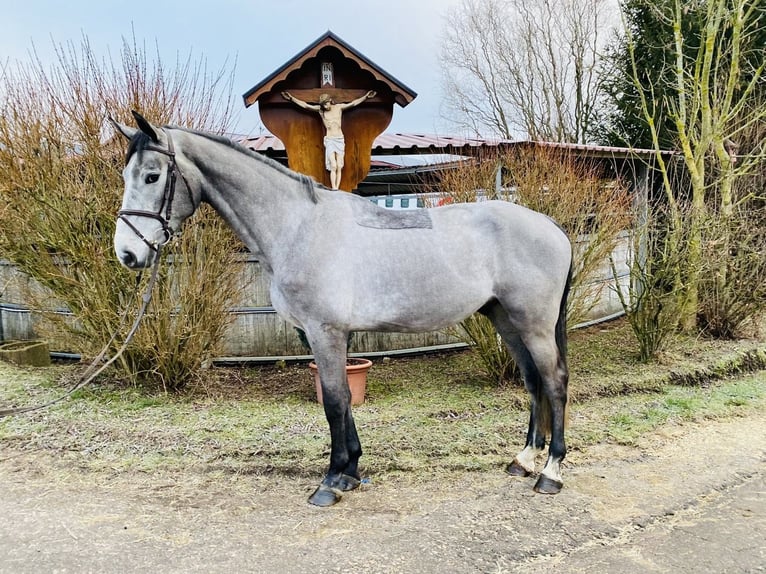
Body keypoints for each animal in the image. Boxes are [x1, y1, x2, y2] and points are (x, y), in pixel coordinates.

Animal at [111, 112, 572, 508]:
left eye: (152, 175)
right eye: (127, 175)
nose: (128, 254)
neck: (298, 227)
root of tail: (551, 225)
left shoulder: (324, 330)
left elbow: (334, 402)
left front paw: (331, 481)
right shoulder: (330, 335)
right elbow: (344, 402)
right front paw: (350, 471)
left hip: (533, 324)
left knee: (554, 381)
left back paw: (550, 473)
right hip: (506, 320)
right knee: (533, 380)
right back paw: (523, 460)